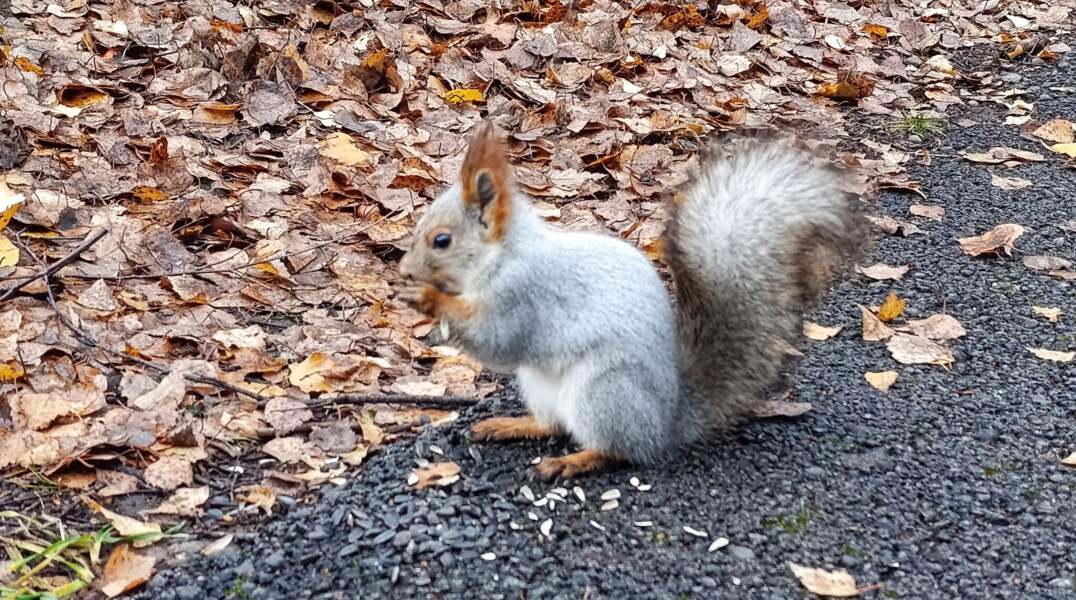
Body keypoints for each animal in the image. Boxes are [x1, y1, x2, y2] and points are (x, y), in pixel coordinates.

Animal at [398, 123, 866, 481]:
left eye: (442, 241)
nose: (403, 270)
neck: (503, 255)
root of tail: (666, 425)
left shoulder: (526, 295)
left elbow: (496, 339)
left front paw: (428, 298)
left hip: (605, 391)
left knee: (617, 450)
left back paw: (572, 461)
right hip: (541, 386)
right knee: (552, 424)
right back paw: (511, 424)